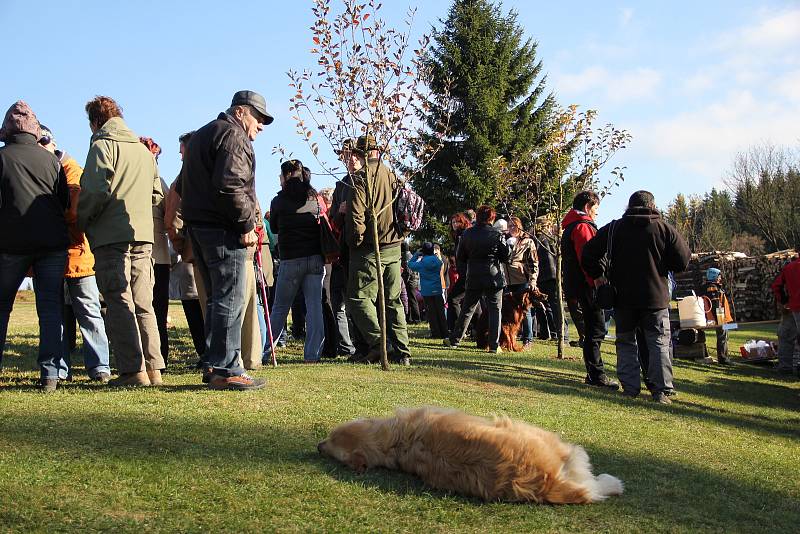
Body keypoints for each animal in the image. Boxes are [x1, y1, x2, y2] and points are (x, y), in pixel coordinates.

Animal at [316, 408, 620, 504]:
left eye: (330, 439)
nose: (318, 446)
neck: (396, 442)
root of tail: (547, 482)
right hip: (528, 431)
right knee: (589, 478)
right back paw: (612, 482)